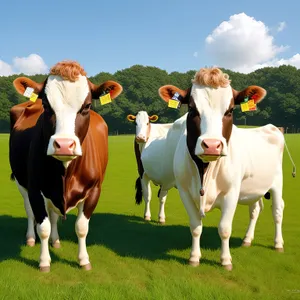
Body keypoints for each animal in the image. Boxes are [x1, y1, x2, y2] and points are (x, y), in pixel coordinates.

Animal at [9, 61, 122, 272]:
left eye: (87, 106)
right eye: (46, 105)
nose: (63, 144)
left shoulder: (94, 189)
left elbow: (81, 227)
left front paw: (84, 260)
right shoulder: (35, 189)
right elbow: (42, 227)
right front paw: (44, 262)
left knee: (54, 215)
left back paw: (56, 241)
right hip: (22, 183)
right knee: (30, 211)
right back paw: (31, 238)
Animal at [158, 67, 288, 270]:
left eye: (230, 110)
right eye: (192, 109)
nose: (212, 145)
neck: (204, 170)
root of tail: (272, 128)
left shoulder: (231, 192)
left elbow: (225, 228)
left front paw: (225, 260)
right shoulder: (184, 191)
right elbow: (195, 226)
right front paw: (194, 257)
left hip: (276, 182)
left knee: (277, 210)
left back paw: (278, 243)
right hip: (254, 187)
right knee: (255, 209)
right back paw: (247, 240)